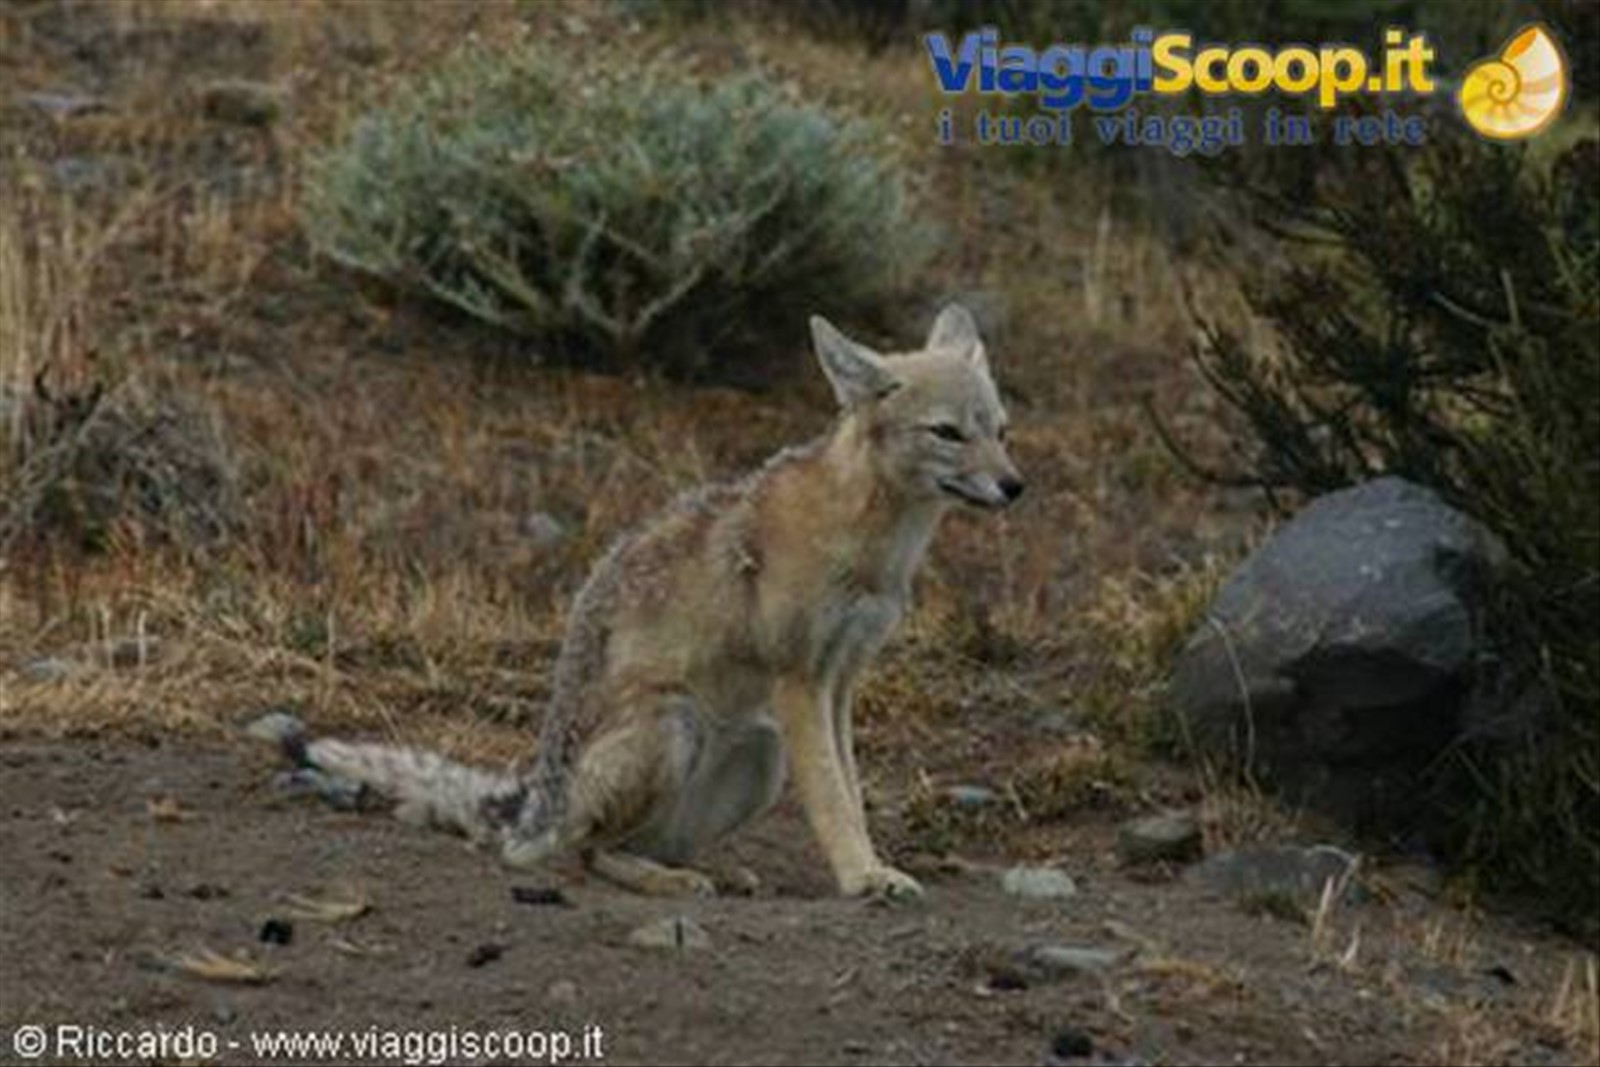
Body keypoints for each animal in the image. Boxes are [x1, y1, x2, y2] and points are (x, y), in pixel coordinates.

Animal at [258, 304, 1023, 900]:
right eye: (948, 432)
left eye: (1000, 429)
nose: (1016, 486)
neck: (871, 542)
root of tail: (542, 799)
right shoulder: (800, 680)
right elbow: (835, 798)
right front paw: (864, 877)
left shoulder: (839, 681)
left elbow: (852, 790)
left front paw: (869, 866)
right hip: (675, 724)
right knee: (586, 852)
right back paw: (664, 880)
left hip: (761, 748)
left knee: (642, 843)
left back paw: (710, 870)